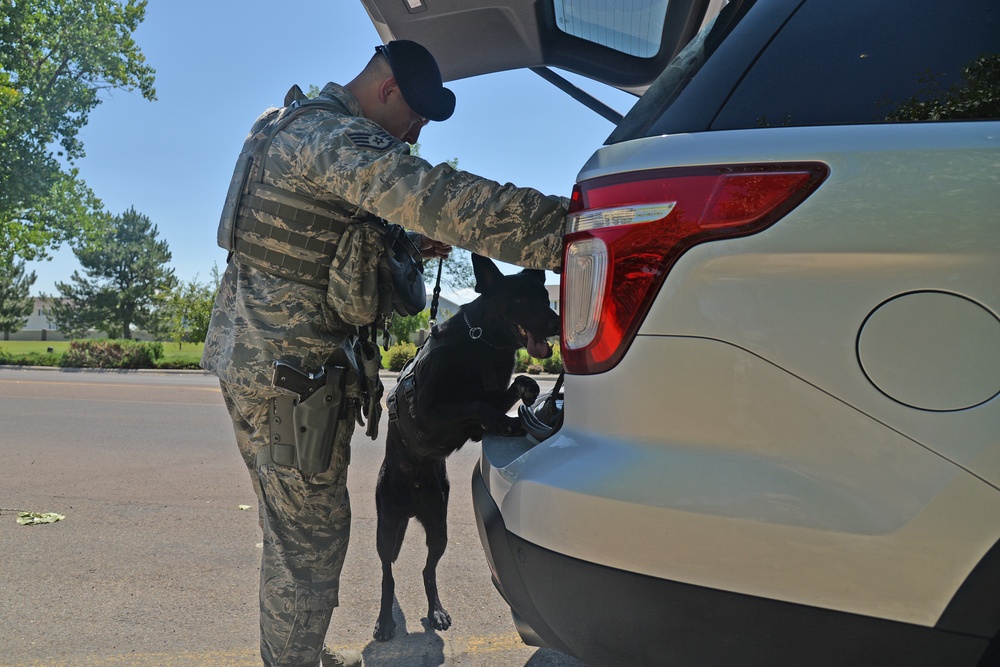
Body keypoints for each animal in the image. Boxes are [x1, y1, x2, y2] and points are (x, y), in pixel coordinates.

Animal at [376, 253, 564, 640]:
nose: (557, 322)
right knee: (388, 574)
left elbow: (520, 384)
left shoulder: (496, 391)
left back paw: (436, 611)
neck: (482, 345)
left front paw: (519, 409)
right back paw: (385, 620)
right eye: (520, 299)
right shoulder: (429, 413)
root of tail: (412, 505)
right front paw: (505, 423)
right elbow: (477, 405)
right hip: (386, 529)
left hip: (439, 529)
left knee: (427, 570)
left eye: (544, 297)